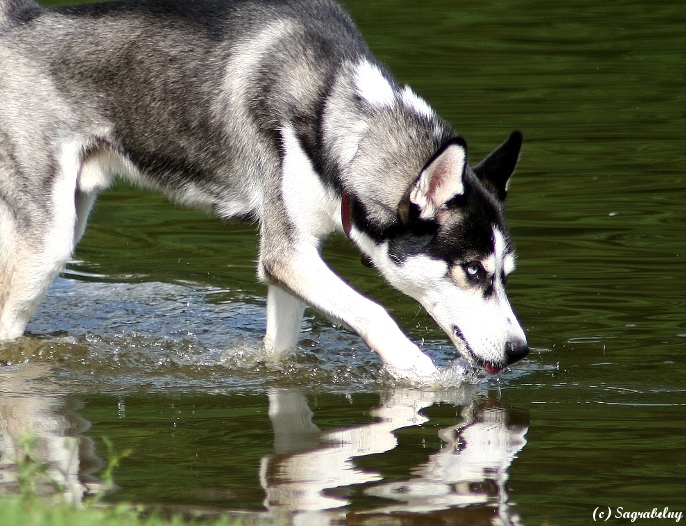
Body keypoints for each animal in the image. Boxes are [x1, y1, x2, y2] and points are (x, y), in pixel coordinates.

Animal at [0, 0, 528, 380]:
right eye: (472, 271)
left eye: (504, 273)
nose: (519, 350)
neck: (333, 112)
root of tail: (21, 16)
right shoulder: (287, 256)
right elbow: (374, 311)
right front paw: (416, 368)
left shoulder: (293, 266)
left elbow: (281, 353)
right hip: (49, 245)